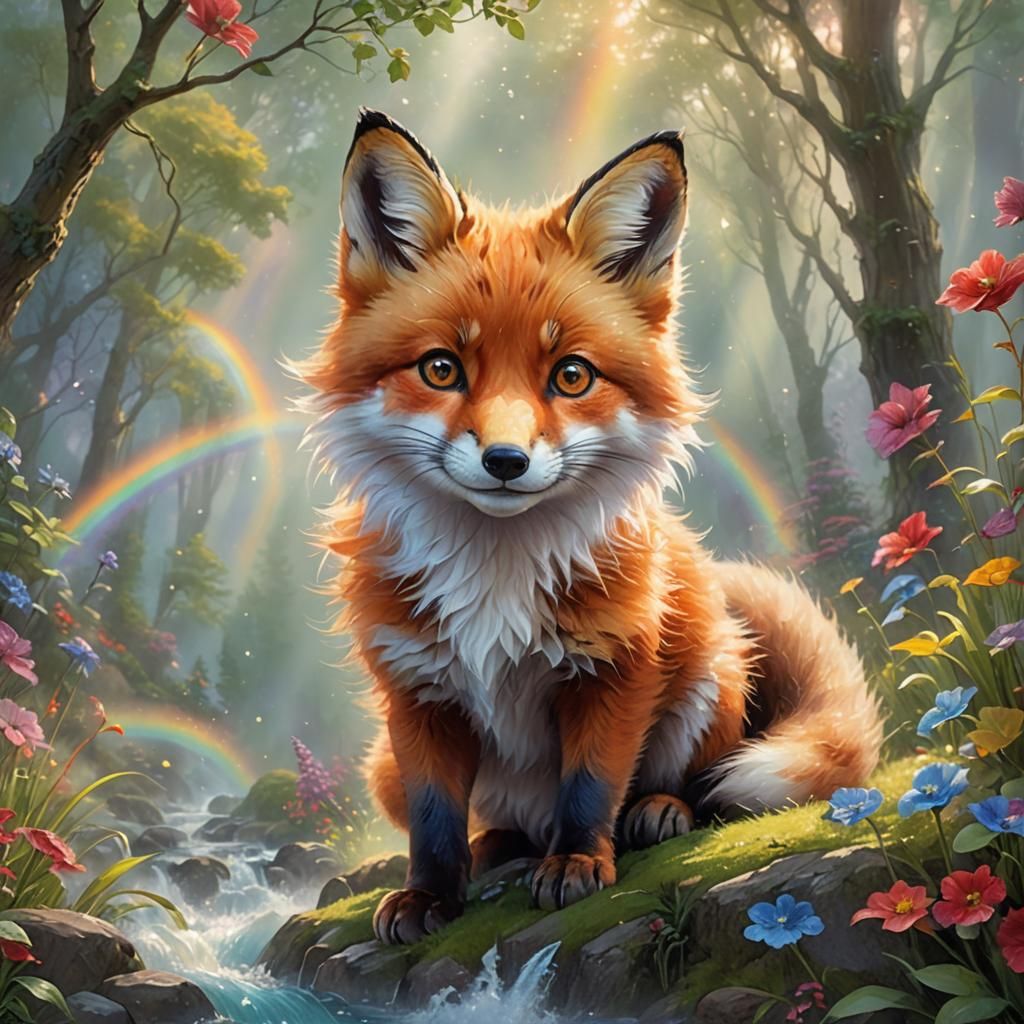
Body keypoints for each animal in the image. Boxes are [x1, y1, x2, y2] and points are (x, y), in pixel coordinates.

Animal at [297, 108, 883, 946]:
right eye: (442, 369)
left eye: (570, 375)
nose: (506, 461)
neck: (498, 577)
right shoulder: (416, 691)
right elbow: (436, 820)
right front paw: (431, 897)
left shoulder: (615, 666)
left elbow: (590, 785)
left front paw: (578, 864)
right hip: (383, 768)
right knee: (495, 822)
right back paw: (500, 845)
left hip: (709, 677)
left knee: (690, 785)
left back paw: (657, 813)